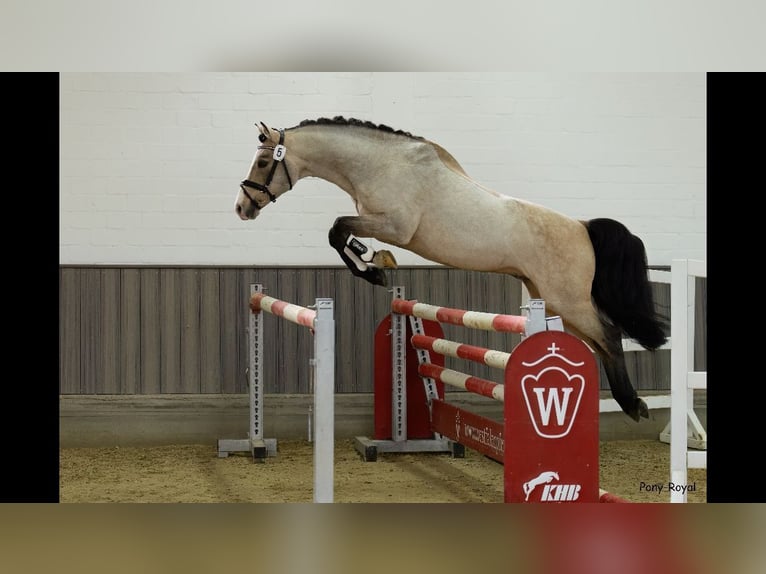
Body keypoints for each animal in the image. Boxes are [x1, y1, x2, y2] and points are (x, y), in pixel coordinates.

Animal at [237, 117, 668, 424]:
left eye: (263, 162)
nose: (242, 208)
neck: (380, 164)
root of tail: (582, 226)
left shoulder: (394, 226)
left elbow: (337, 230)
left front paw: (375, 269)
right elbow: (341, 233)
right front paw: (376, 262)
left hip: (568, 300)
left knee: (609, 336)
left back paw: (633, 405)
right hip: (550, 298)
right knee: (598, 343)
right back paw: (628, 403)